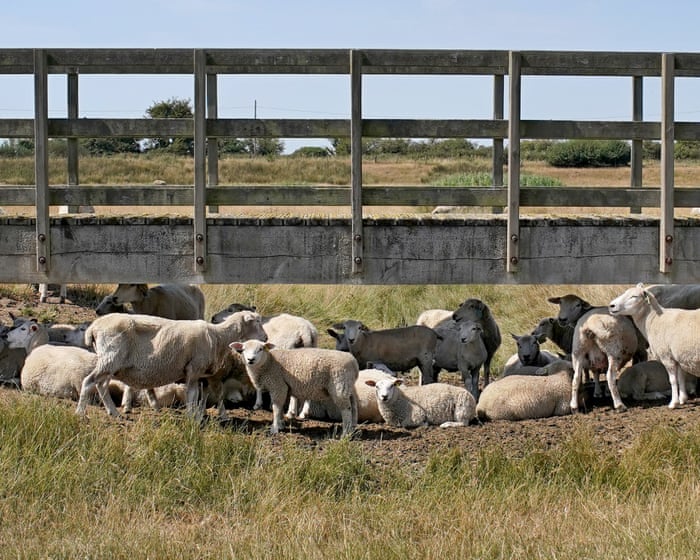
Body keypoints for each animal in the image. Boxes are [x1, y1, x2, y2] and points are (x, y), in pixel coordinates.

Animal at [75, 310, 267, 419]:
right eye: (257, 321)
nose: (265, 338)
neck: (219, 336)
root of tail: (93, 327)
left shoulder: (202, 373)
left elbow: (203, 396)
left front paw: (200, 415)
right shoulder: (194, 368)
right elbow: (193, 394)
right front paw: (193, 417)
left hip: (111, 363)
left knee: (101, 385)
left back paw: (113, 412)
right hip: (110, 358)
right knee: (88, 382)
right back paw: (80, 412)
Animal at [230, 339, 359, 436]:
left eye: (260, 349)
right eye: (243, 349)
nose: (250, 360)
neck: (268, 363)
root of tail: (353, 362)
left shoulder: (278, 385)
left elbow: (276, 408)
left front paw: (274, 428)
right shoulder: (284, 388)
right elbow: (280, 408)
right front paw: (281, 424)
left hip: (339, 385)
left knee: (346, 409)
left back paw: (345, 433)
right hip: (348, 386)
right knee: (353, 406)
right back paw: (352, 429)